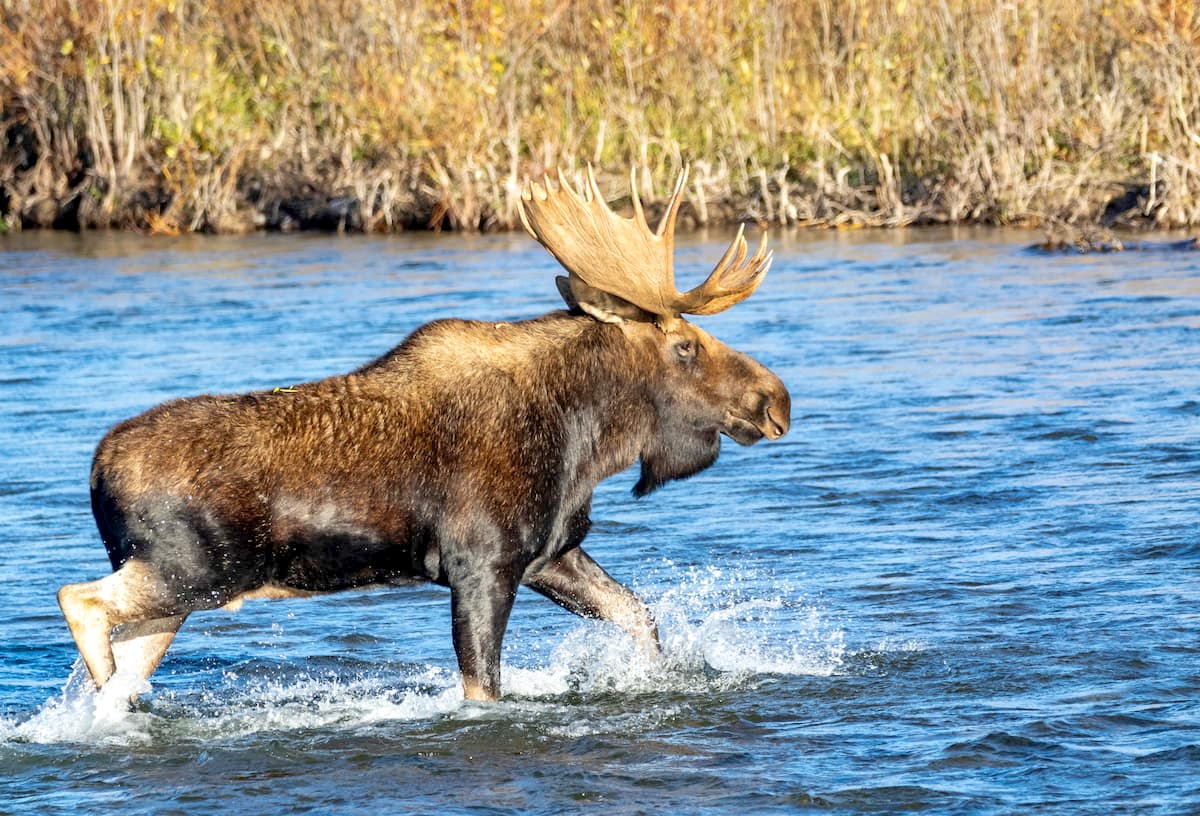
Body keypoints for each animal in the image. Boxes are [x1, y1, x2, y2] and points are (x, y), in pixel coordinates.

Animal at [57, 165, 791, 702]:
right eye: (685, 346)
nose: (775, 400)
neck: (584, 440)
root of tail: (95, 470)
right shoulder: (479, 563)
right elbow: (483, 688)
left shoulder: (551, 552)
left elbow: (641, 617)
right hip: (193, 573)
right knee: (78, 600)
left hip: (180, 595)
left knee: (119, 659)